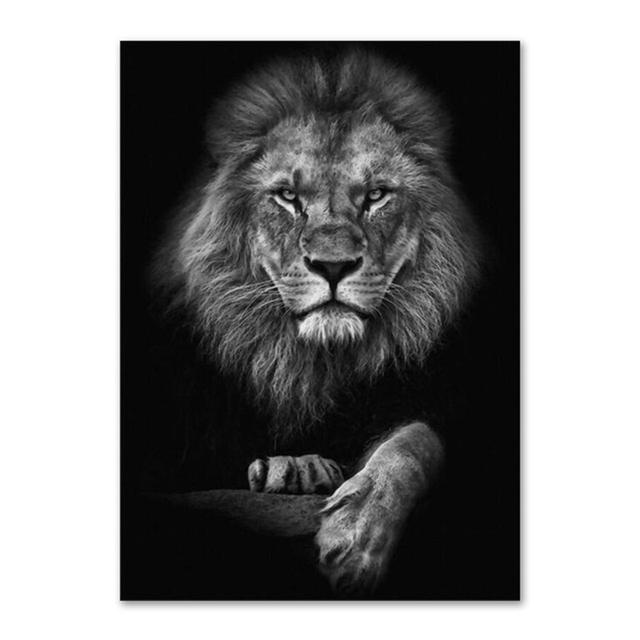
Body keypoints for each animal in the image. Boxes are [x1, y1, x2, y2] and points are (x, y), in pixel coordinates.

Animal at [151, 49, 482, 595]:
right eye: (287, 196)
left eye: (376, 195)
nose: (332, 265)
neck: (313, 365)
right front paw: (296, 468)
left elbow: (415, 442)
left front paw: (358, 534)